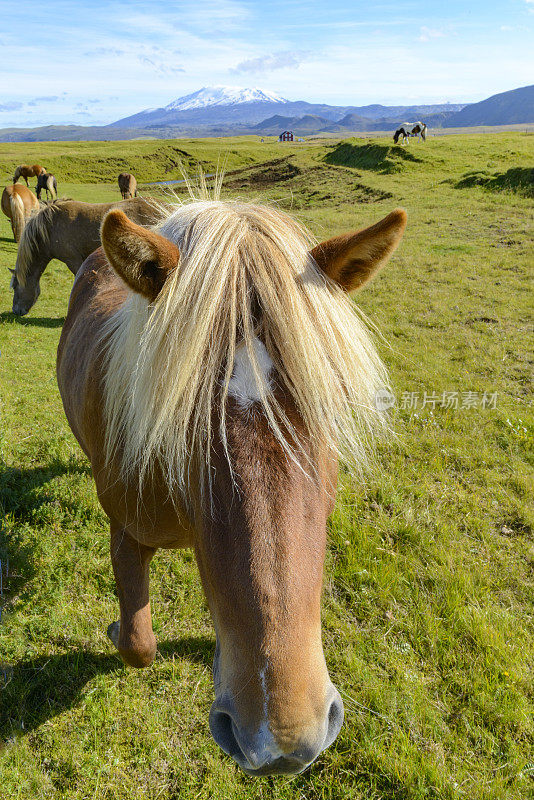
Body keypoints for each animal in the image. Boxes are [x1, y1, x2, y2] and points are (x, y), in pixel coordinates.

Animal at [56, 195, 406, 776]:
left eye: (330, 402)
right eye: (178, 418)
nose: (282, 743)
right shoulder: (124, 531)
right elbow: (138, 644)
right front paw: (122, 633)